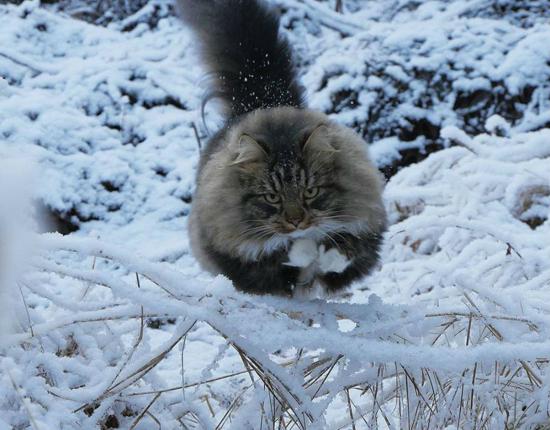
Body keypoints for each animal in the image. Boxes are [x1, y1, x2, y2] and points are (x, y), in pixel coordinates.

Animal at [181, 0, 388, 296]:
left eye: (311, 191)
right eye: (271, 197)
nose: (296, 221)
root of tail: (264, 100)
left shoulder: (367, 223)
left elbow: (345, 247)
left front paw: (325, 254)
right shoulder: (239, 252)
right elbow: (282, 252)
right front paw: (307, 250)